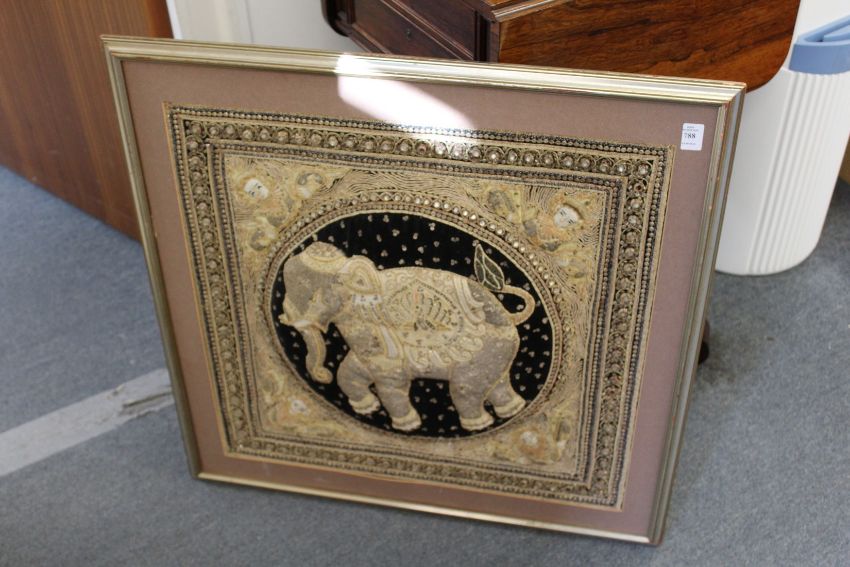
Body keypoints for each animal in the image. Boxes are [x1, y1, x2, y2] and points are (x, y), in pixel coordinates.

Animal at [278, 241, 536, 432]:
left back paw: (477, 424)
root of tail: (508, 316)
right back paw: (511, 410)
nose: (323, 376)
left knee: (465, 390)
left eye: (313, 296)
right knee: (498, 384)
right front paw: (368, 408)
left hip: (480, 356)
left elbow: (390, 385)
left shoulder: (384, 342)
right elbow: (349, 371)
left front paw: (407, 425)